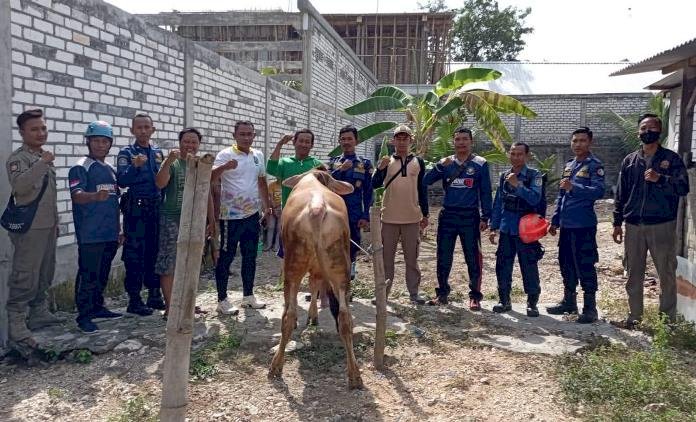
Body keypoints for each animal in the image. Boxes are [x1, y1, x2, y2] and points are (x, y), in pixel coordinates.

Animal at [268, 168, 364, 390]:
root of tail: (317, 208)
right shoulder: (320, 269)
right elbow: (315, 286)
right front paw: (313, 315)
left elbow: (311, 287)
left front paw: (311, 316)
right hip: (339, 267)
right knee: (345, 319)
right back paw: (354, 375)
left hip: (293, 266)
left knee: (288, 316)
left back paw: (276, 366)